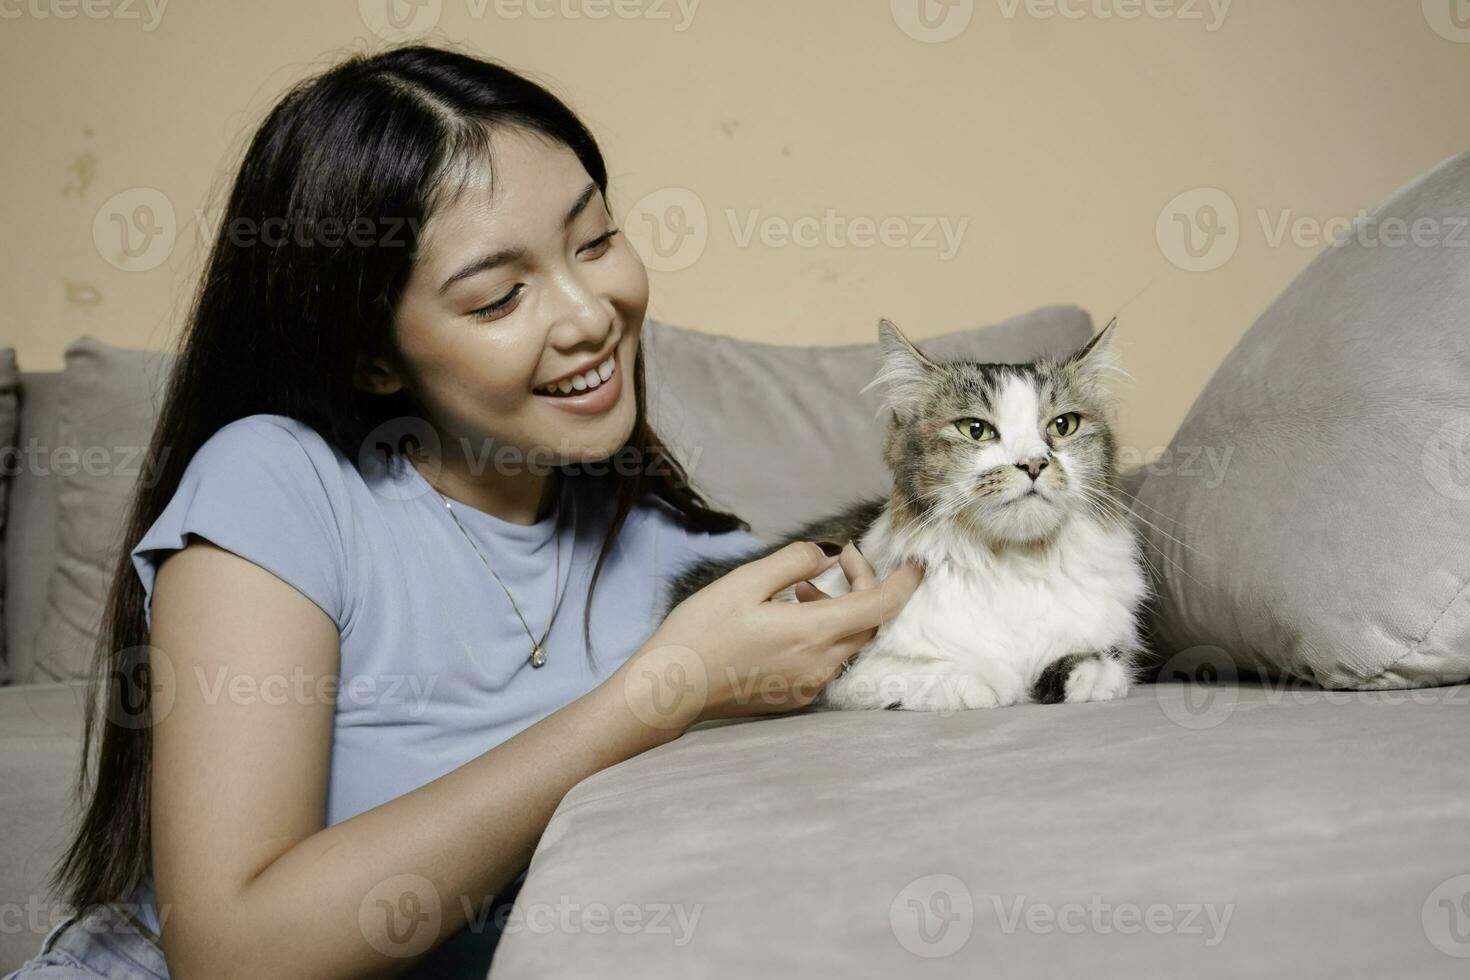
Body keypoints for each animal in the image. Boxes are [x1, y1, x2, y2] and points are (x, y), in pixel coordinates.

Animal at [661, 320, 1152, 714]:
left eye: (1063, 425)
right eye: (975, 429)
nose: (1033, 464)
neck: (1012, 562)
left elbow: (1097, 660)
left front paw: (1087, 675)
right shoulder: (849, 670)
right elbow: (932, 673)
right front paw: (991, 683)